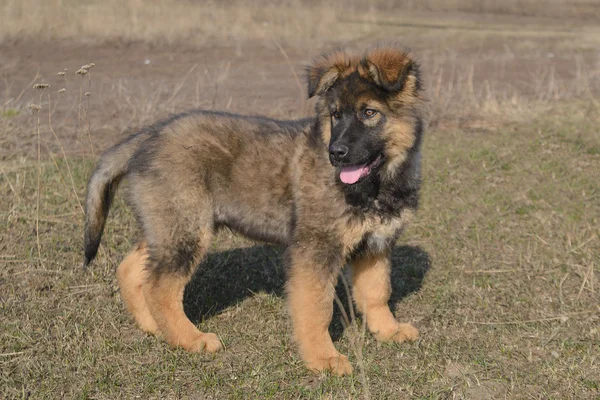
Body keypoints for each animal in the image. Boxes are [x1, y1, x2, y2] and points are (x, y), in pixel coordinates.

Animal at [83, 44, 426, 376]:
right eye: (336, 115)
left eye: (369, 113)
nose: (335, 153)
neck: (378, 185)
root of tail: (149, 135)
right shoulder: (314, 250)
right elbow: (317, 308)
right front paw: (323, 358)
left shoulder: (376, 245)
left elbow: (377, 291)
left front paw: (388, 330)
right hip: (187, 229)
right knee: (159, 287)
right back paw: (190, 339)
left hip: (169, 223)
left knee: (132, 268)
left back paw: (153, 326)